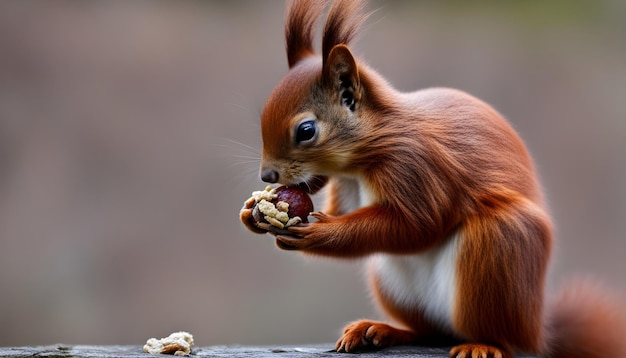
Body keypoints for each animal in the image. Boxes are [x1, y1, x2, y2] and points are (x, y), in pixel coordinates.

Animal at [236, 1, 620, 356]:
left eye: (306, 131)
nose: (267, 174)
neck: (365, 156)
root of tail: (539, 331)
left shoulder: (417, 165)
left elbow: (418, 224)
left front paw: (318, 233)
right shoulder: (346, 183)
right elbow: (344, 210)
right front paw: (252, 213)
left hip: (500, 244)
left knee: (500, 336)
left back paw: (483, 344)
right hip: (396, 285)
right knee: (430, 331)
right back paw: (381, 330)